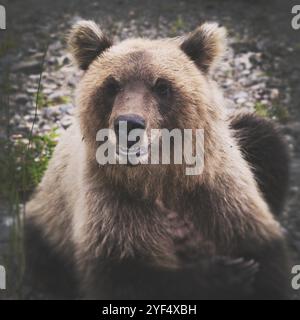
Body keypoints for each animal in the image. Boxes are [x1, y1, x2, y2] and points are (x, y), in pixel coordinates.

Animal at [25, 20, 290, 300]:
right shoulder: (112, 203)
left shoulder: (218, 192)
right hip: (48, 219)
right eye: (112, 85)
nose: (128, 125)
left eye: (162, 86)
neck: (160, 177)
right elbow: (124, 276)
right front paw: (226, 274)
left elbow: (264, 257)